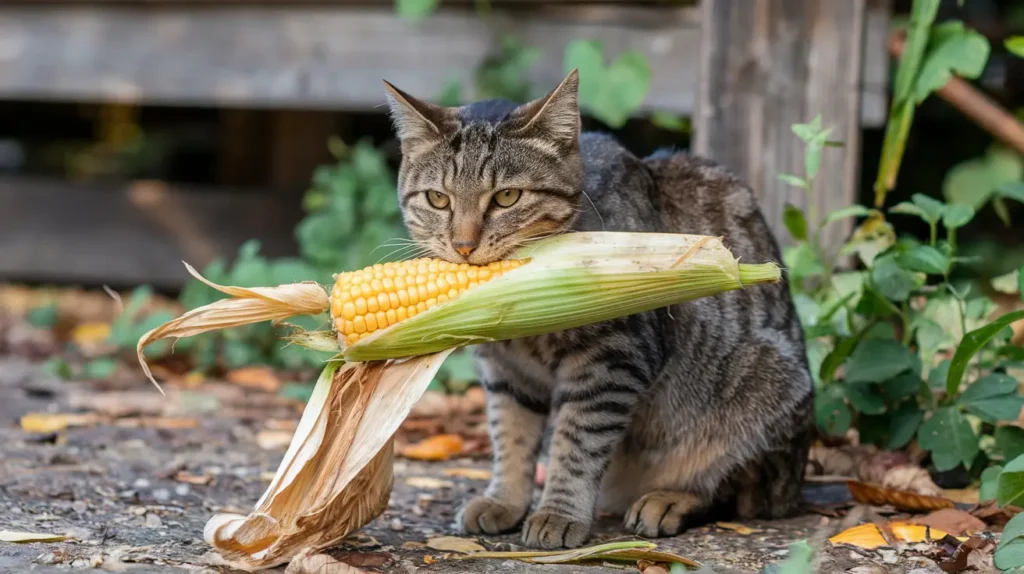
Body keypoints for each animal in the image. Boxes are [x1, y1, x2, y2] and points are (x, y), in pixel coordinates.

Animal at [380, 69, 811, 548]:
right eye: (438, 199)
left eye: (507, 197)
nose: (463, 245)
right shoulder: (504, 371)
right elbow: (510, 437)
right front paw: (505, 500)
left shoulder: (611, 362)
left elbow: (576, 443)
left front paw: (558, 513)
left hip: (766, 387)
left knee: (735, 490)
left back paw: (669, 499)